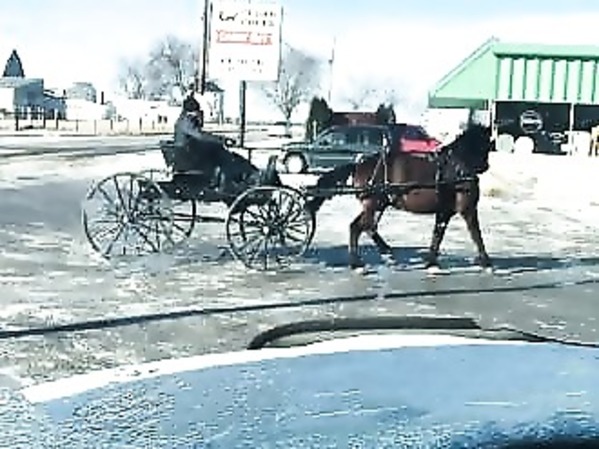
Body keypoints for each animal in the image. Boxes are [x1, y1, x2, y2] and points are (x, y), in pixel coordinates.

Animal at [305, 122, 495, 270]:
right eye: (486, 144)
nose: (485, 165)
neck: (458, 167)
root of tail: (358, 165)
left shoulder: (444, 212)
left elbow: (437, 235)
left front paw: (431, 261)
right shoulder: (467, 209)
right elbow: (476, 234)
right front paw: (485, 260)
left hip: (377, 204)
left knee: (368, 227)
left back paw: (385, 250)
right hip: (374, 204)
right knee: (357, 227)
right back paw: (357, 262)